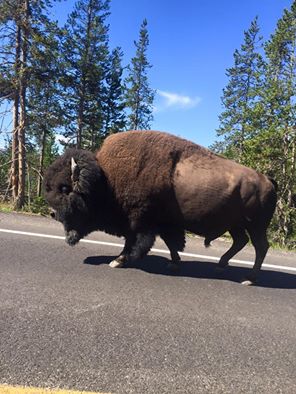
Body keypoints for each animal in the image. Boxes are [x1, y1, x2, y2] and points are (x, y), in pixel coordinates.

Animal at [44, 131, 278, 284]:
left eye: (65, 188)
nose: (52, 213)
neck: (105, 180)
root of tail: (268, 180)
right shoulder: (163, 224)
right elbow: (171, 243)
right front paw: (174, 263)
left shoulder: (139, 222)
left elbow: (135, 242)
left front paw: (118, 261)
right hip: (236, 225)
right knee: (241, 242)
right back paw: (220, 266)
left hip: (256, 226)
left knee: (260, 247)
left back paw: (248, 278)